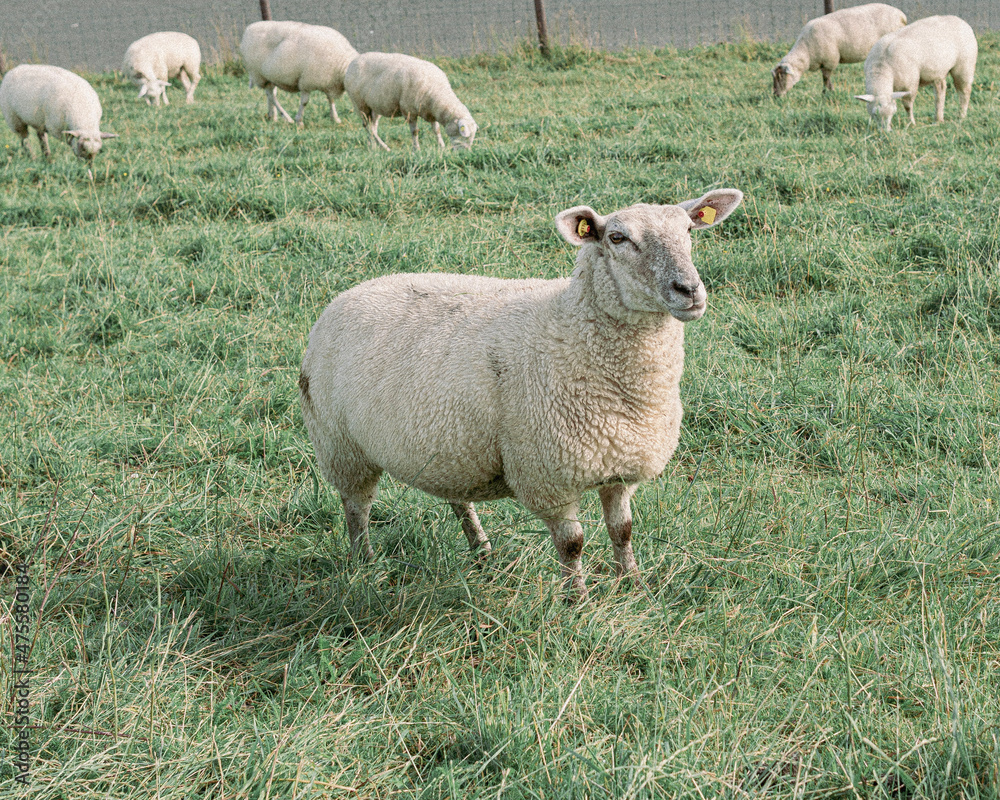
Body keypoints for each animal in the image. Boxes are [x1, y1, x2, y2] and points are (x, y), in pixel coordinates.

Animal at [299, 189, 744, 601]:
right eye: (617, 238)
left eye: (689, 231)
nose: (689, 290)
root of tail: (352, 292)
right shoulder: (547, 476)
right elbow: (572, 545)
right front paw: (578, 603)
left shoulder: (621, 466)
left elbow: (623, 532)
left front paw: (634, 587)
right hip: (342, 446)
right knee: (356, 508)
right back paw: (364, 564)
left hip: (448, 447)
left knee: (458, 499)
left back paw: (483, 553)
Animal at [343, 52, 478, 151]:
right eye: (465, 136)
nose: (464, 154)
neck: (437, 92)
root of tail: (353, 62)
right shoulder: (409, 111)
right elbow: (415, 132)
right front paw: (416, 149)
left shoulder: (431, 112)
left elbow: (436, 130)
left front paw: (442, 147)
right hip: (359, 104)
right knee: (367, 127)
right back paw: (385, 147)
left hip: (374, 107)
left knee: (373, 127)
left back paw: (374, 147)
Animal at [772, 3, 906, 97]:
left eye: (782, 77)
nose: (776, 95)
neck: (806, 52)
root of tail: (901, 15)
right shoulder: (823, 63)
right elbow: (824, 79)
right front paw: (825, 92)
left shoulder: (829, 61)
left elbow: (826, 79)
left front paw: (829, 92)